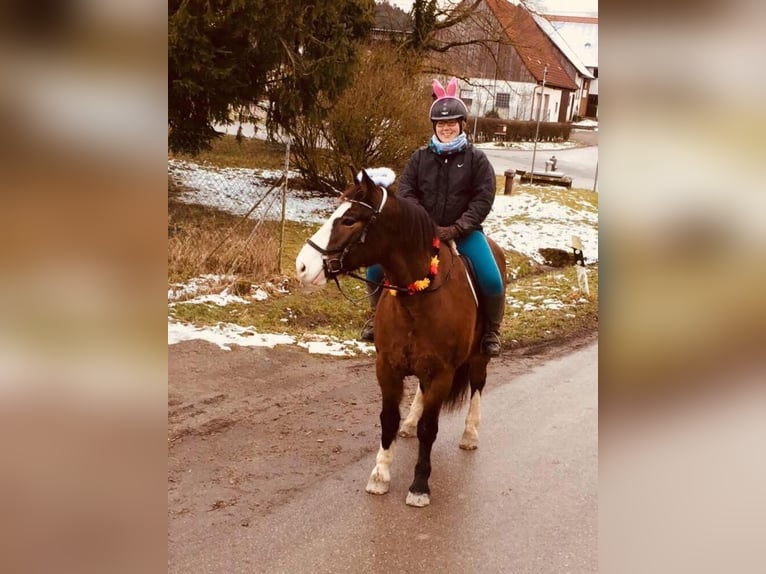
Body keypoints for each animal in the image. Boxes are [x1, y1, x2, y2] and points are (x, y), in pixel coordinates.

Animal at [296, 170, 508, 508]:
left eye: (349, 220)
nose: (302, 267)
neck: (418, 299)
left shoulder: (443, 373)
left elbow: (429, 428)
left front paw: (419, 485)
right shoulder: (387, 367)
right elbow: (388, 420)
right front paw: (380, 475)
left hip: (477, 357)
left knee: (477, 385)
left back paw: (470, 435)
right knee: (420, 393)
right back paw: (410, 424)